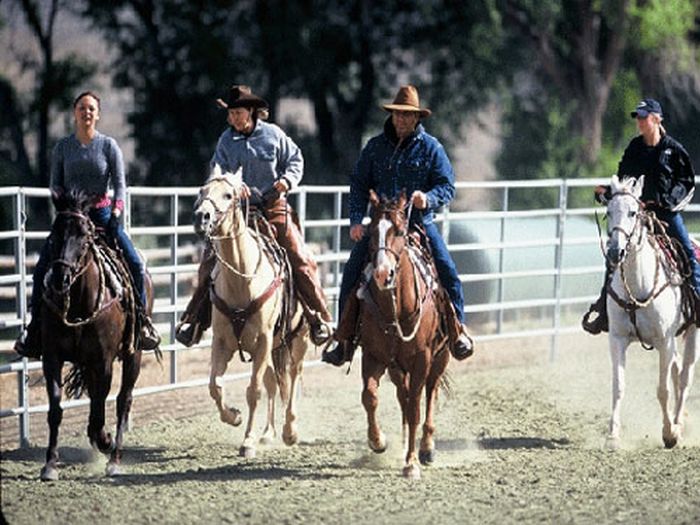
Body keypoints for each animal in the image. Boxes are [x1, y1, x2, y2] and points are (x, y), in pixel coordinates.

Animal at [38, 191, 156, 478]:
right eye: (54, 234)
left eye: (84, 237)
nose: (60, 278)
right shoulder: (52, 357)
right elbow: (56, 408)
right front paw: (50, 465)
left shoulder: (104, 362)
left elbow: (100, 412)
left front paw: (106, 441)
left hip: (134, 355)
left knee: (123, 400)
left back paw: (113, 458)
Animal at [193, 166, 310, 456]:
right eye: (202, 190)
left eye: (228, 195)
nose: (202, 217)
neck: (241, 281)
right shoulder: (222, 341)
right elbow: (215, 385)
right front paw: (233, 417)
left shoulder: (263, 341)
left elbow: (253, 390)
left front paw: (247, 441)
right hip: (273, 349)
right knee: (274, 382)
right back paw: (268, 433)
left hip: (298, 340)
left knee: (293, 376)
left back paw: (290, 431)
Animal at [358, 189, 452, 478]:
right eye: (370, 231)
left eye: (398, 231)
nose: (382, 273)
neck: (396, 309)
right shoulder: (373, 356)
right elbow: (370, 396)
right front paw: (378, 441)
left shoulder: (423, 358)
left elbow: (415, 410)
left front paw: (411, 463)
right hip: (397, 367)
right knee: (404, 394)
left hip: (440, 358)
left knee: (429, 394)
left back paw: (427, 448)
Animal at [604, 175, 696, 446]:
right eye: (608, 211)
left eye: (633, 212)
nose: (615, 252)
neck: (638, 284)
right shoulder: (617, 338)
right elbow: (618, 386)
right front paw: (613, 436)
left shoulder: (664, 340)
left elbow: (662, 389)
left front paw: (669, 433)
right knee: (677, 371)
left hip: (692, 332)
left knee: (684, 377)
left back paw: (677, 425)